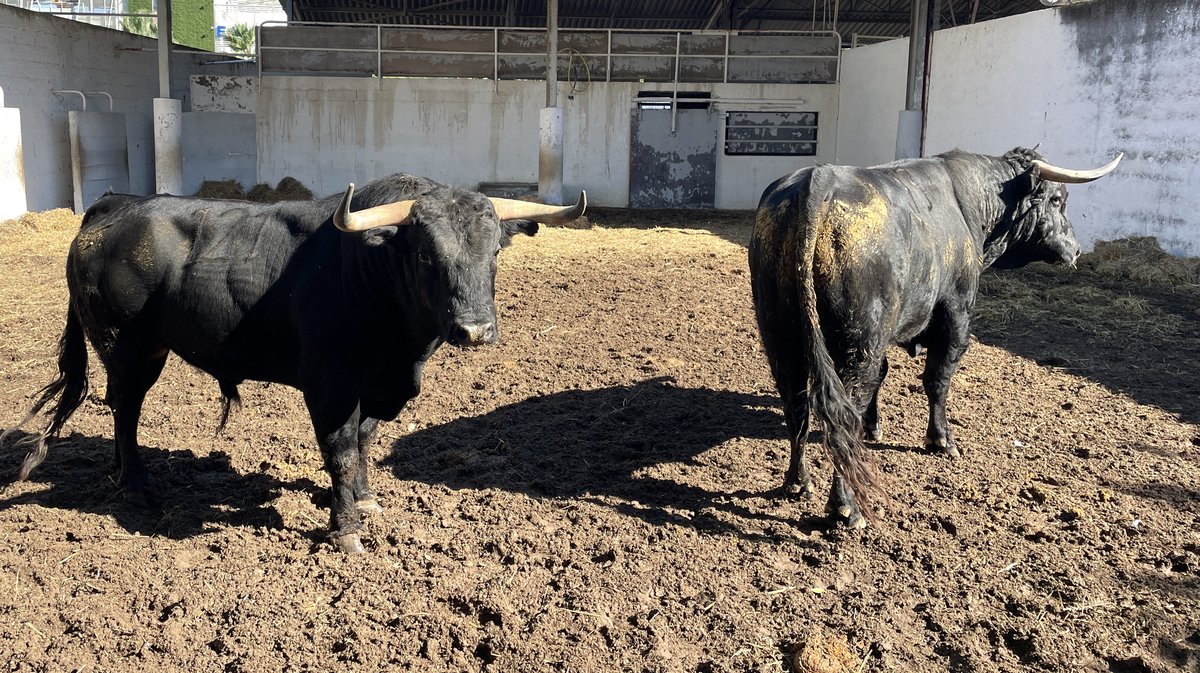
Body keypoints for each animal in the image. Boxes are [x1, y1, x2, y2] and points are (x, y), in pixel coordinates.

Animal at [4, 172, 585, 551]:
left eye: (495, 252)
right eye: (425, 254)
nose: (474, 331)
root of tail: (114, 207)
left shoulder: (378, 386)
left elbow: (365, 441)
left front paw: (365, 501)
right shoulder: (329, 386)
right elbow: (341, 452)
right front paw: (345, 530)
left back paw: (121, 472)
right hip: (128, 348)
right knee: (125, 409)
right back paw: (136, 485)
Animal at [748, 145, 1123, 525]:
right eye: (1058, 199)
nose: (1075, 249)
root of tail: (818, 181)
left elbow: (884, 376)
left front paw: (874, 426)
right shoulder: (955, 315)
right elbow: (937, 380)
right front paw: (941, 439)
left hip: (782, 338)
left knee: (798, 406)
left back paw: (798, 483)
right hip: (857, 344)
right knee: (842, 418)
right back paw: (846, 506)